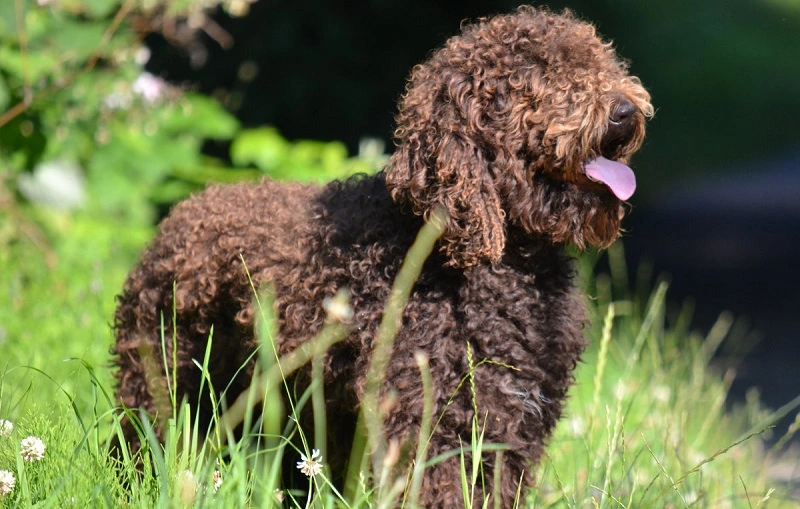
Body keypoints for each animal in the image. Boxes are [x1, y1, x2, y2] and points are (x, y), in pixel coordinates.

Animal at [112, 5, 648, 506]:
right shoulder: (427, 417)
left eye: (598, 59)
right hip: (163, 380)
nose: (625, 110)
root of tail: (180, 214)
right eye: (535, 78)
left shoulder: (513, 423)